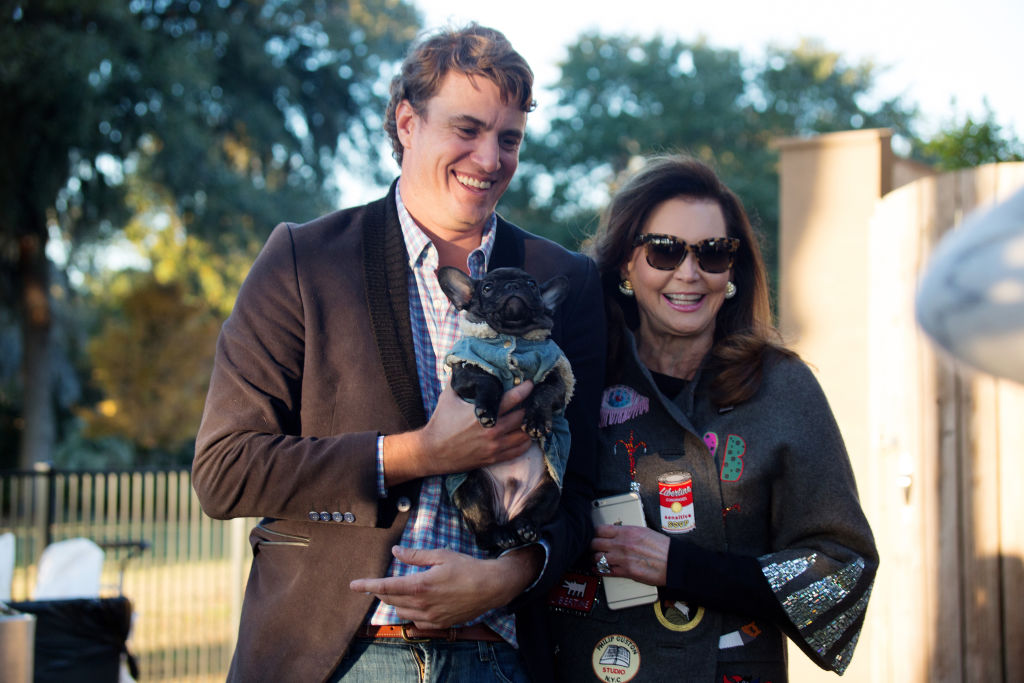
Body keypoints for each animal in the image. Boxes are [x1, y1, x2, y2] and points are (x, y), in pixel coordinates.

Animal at [436, 266, 575, 552]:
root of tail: (507, 512)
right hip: (472, 488)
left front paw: (536, 421)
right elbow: (490, 381)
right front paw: (487, 411)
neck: (513, 338)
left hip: (550, 488)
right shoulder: (465, 369)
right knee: (483, 529)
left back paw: (524, 528)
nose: (513, 286)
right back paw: (500, 535)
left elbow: (542, 393)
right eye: (487, 287)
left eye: (532, 285)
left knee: (533, 512)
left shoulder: (557, 377)